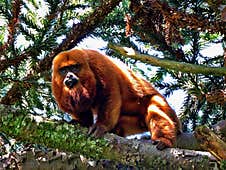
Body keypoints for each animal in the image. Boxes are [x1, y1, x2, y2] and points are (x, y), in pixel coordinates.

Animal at [52, 48, 181, 149]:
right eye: (64, 70)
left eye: (74, 68)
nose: (69, 76)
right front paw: (81, 122)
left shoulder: (98, 62)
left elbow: (109, 94)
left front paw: (101, 126)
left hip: (161, 104)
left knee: (155, 109)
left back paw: (163, 141)